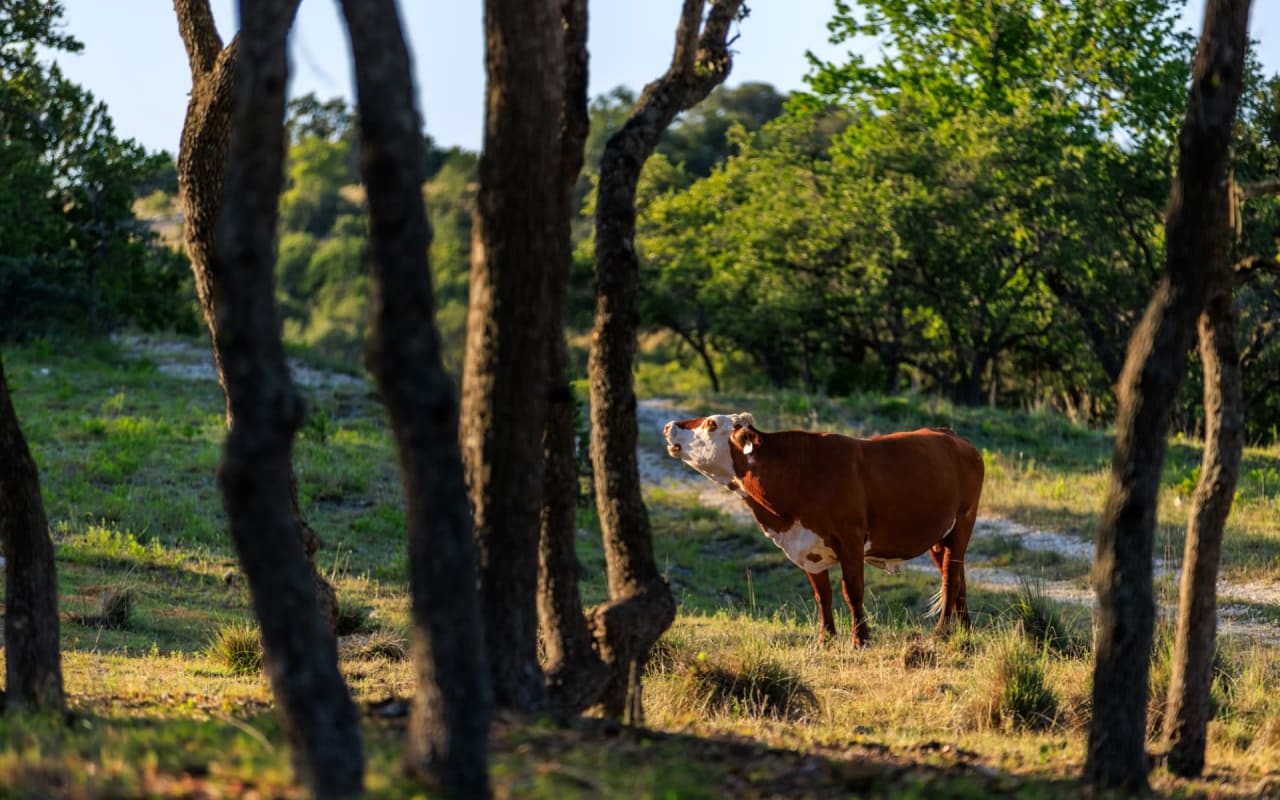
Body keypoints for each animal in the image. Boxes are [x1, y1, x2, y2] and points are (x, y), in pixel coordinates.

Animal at [665, 409, 983, 645]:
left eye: (710, 423)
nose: (669, 425)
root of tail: (952, 435)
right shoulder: (807, 545)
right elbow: (823, 595)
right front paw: (825, 639)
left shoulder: (850, 537)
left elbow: (852, 590)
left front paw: (861, 640)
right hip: (938, 536)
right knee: (958, 576)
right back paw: (965, 629)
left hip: (963, 521)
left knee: (950, 577)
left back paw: (941, 631)